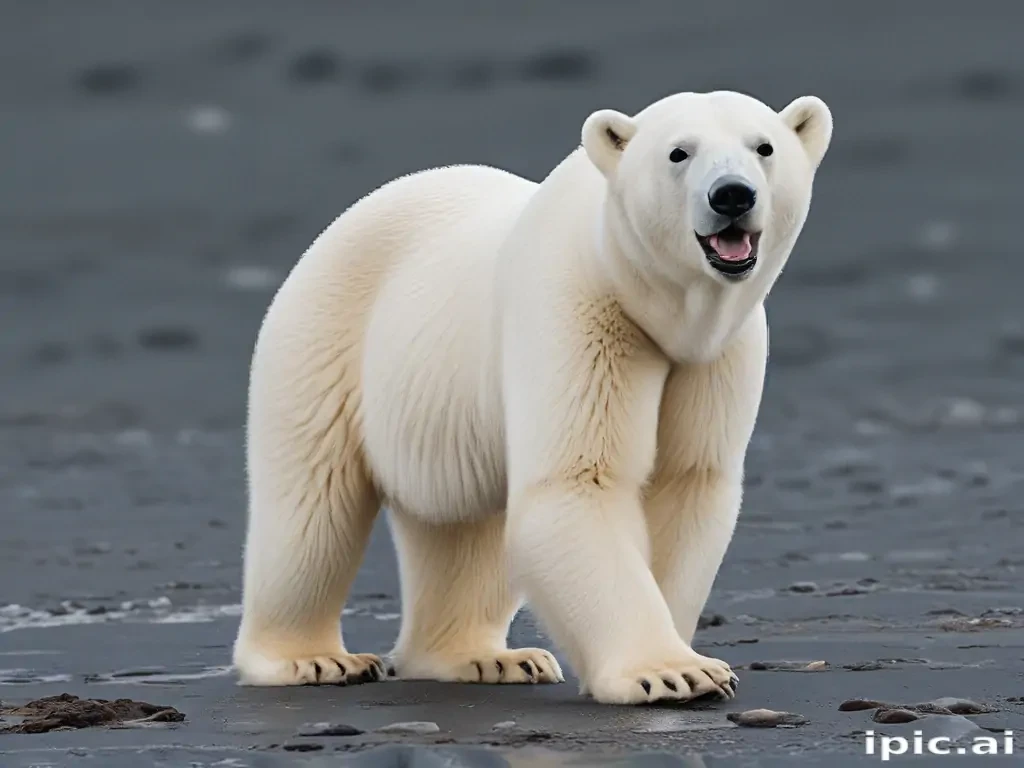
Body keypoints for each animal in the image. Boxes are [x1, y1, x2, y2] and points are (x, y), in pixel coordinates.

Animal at [232, 89, 832, 705]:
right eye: (678, 152)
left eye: (764, 147)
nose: (732, 194)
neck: (648, 298)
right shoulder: (581, 309)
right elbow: (577, 481)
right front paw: (672, 672)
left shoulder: (715, 354)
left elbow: (687, 481)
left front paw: (684, 660)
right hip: (325, 340)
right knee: (312, 507)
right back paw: (310, 659)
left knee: (464, 523)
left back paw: (482, 658)